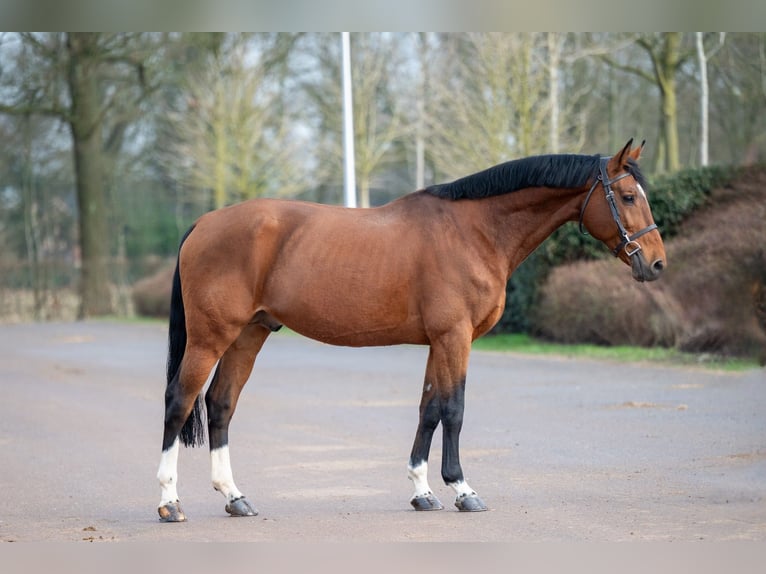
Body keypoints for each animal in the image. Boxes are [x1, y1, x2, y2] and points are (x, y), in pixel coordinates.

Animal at [156, 140, 664, 520]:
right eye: (628, 197)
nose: (657, 263)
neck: (473, 231)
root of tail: (204, 223)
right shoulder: (454, 337)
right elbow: (454, 409)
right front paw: (462, 490)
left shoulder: (439, 342)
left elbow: (429, 409)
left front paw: (423, 491)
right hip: (210, 337)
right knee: (180, 401)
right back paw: (169, 502)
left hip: (250, 333)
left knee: (221, 404)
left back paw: (235, 497)